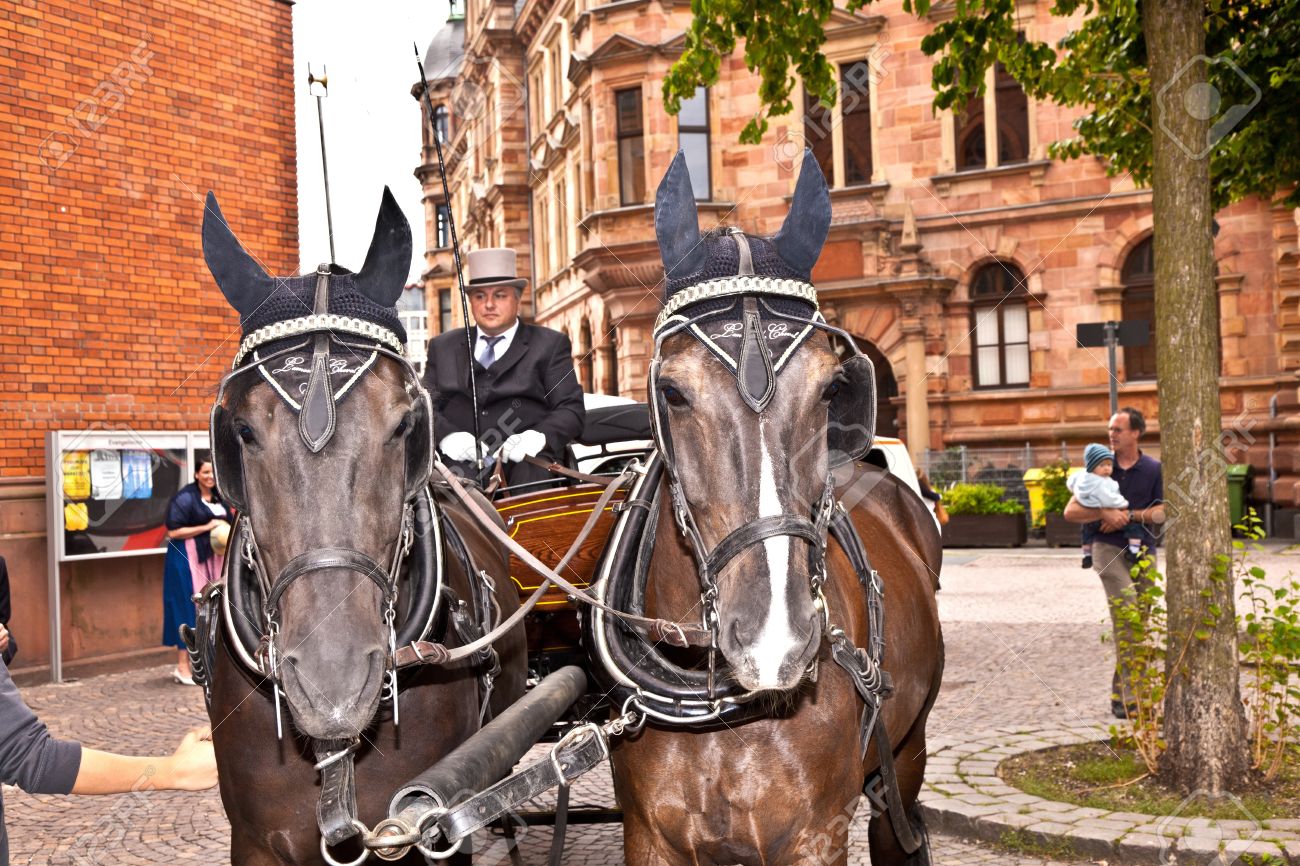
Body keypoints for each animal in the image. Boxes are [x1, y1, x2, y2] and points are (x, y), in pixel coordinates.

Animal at [603, 151, 941, 858]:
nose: (774, 639)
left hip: (908, 751)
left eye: (832, 389)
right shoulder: (647, 835)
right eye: (671, 391)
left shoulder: (816, 835)